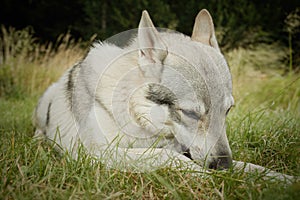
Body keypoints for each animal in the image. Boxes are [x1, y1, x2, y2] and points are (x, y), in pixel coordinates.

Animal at [32, 9, 292, 181]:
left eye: (227, 111)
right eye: (190, 113)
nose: (223, 166)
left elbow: (250, 166)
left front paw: (282, 180)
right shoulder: (93, 153)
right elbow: (168, 156)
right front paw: (211, 179)